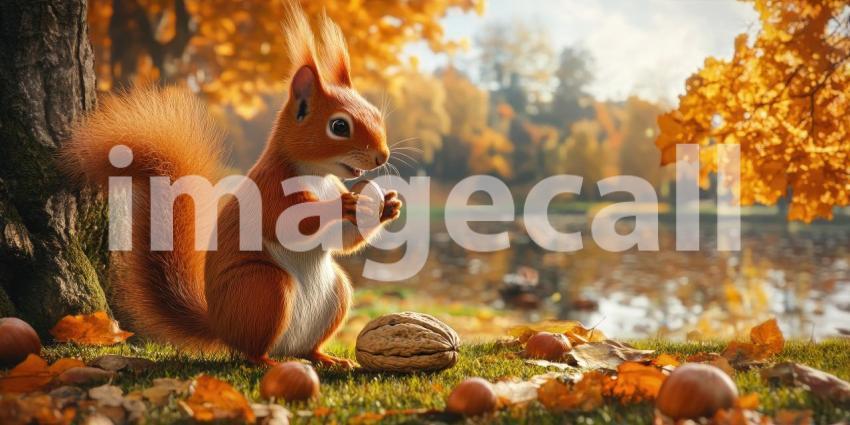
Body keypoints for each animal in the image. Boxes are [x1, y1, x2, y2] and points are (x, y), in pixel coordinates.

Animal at [61, 3, 401, 367]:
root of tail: (221, 325)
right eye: (339, 126)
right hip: (263, 288)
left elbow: (343, 241)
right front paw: (342, 205)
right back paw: (268, 361)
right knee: (251, 349)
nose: (382, 156)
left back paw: (326, 358)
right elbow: (289, 223)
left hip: (335, 293)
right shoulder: (269, 188)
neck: (317, 174)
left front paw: (388, 206)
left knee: (307, 346)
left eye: (375, 114)